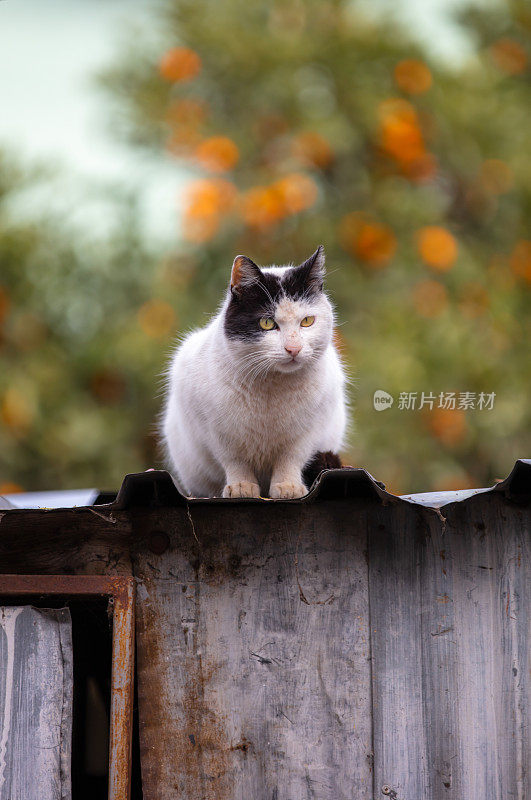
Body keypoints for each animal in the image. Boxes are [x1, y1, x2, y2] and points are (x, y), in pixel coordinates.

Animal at [164, 247, 352, 496]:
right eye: (267, 323)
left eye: (307, 321)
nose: (294, 348)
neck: (272, 386)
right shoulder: (217, 432)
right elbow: (235, 461)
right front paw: (241, 486)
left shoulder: (309, 430)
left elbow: (291, 458)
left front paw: (288, 486)